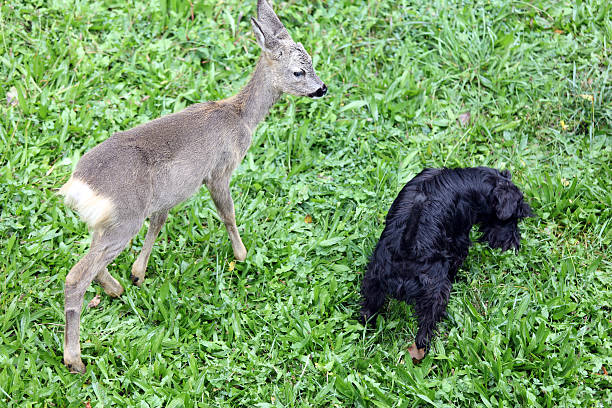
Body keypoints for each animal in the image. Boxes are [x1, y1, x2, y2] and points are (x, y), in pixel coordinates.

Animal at [57, 0, 326, 372]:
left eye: (312, 60)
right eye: (299, 71)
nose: (322, 88)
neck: (241, 117)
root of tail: (78, 185)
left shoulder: (169, 194)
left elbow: (159, 224)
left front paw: (138, 274)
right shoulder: (219, 171)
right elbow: (228, 214)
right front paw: (242, 255)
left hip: (111, 224)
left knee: (92, 265)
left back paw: (115, 289)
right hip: (124, 221)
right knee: (75, 278)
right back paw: (75, 360)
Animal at [358, 166, 532, 360]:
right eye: (515, 217)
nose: (515, 242)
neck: (474, 183)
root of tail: (407, 248)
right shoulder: (459, 240)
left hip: (373, 281)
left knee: (368, 309)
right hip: (434, 292)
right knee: (425, 326)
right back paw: (425, 348)